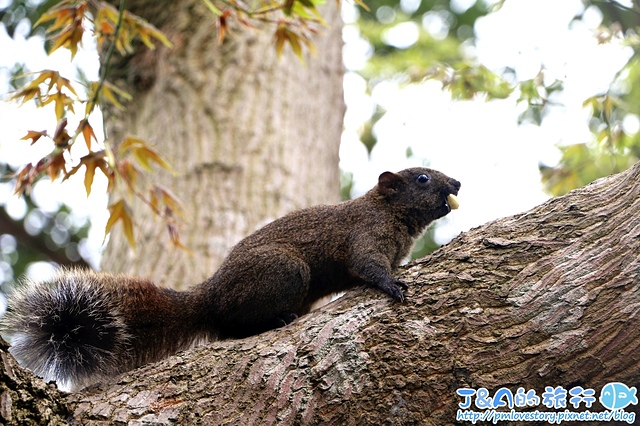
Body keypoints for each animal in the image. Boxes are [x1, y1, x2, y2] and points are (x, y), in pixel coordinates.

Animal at [0, 166, 460, 390]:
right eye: (421, 178)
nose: (457, 183)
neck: (390, 212)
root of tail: (208, 295)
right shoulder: (365, 234)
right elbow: (368, 267)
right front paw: (392, 286)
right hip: (284, 270)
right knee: (234, 325)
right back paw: (277, 319)